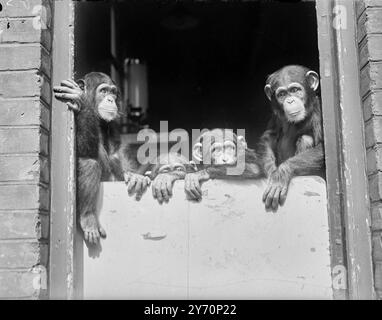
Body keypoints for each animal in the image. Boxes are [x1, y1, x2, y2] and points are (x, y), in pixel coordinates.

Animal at [54, 72, 149, 242]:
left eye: (113, 92)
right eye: (103, 91)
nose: (111, 99)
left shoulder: (114, 126)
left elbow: (117, 153)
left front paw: (134, 176)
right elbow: (83, 150)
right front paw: (81, 100)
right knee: (88, 163)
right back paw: (88, 218)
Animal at [260, 64, 326, 211]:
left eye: (295, 90)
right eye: (282, 94)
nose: (290, 100)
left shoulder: (319, 113)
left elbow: (323, 148)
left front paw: (280, 175)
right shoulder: (276, 115)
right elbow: (269, 136)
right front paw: (269, 170)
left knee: (306, 139)